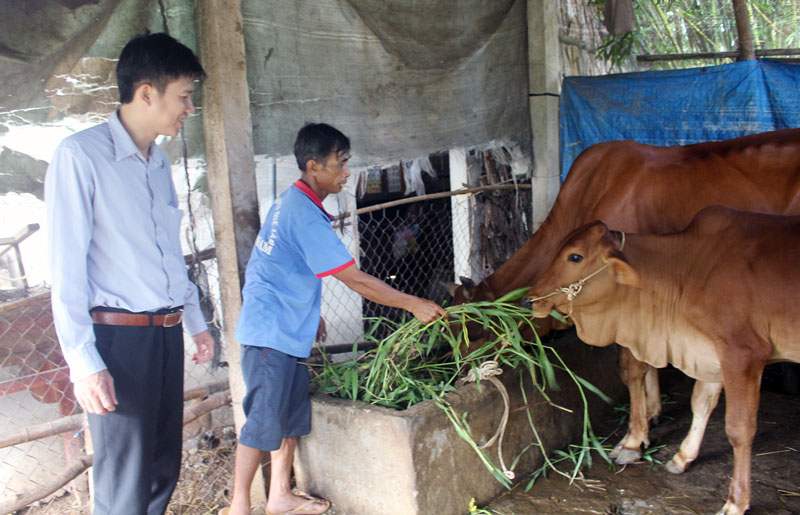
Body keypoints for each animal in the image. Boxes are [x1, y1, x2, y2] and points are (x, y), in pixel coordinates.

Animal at [454, 128, 800, 464]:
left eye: (476, 334)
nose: (457, 380)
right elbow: (649, 362)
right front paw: (653, 413)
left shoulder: (628, 300)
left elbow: (632, 370)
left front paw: (632, 440)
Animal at [524, 206, 800, 515]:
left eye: (575, 256)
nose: (529, 299)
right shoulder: (710, 350)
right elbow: (701, 402)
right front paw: (683, 456)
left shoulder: (744, 354)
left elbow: (739, 429)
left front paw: (736, 502)